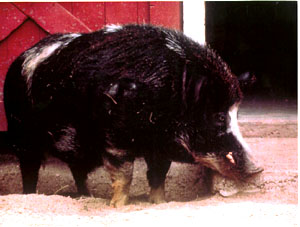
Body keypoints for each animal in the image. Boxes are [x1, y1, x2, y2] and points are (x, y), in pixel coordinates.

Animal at [4, 24, 262, 207]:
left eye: (236, 114)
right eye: (219, 117)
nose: (258, 168)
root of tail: (20, 58)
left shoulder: (159, 147)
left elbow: (158, 176)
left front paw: (159, 203)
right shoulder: (115, 139)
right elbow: (124, 176)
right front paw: (117, 206)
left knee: (78, 171)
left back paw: (86, 197)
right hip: (22, 135)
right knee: (30, 170)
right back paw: (29, 195)